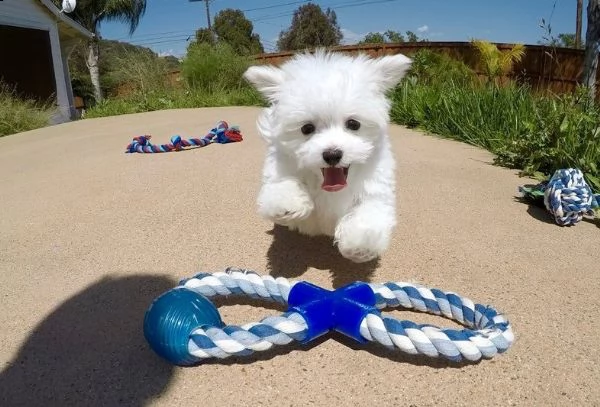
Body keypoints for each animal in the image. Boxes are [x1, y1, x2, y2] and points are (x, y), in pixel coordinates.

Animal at [244, 50, 412, 264]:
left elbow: (370, 213)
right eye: (307, 128)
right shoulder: (280, 167)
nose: (332, 154)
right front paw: (289, 203)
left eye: (353, 124)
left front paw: (360, 245)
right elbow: (281, 185)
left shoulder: (375, 187)